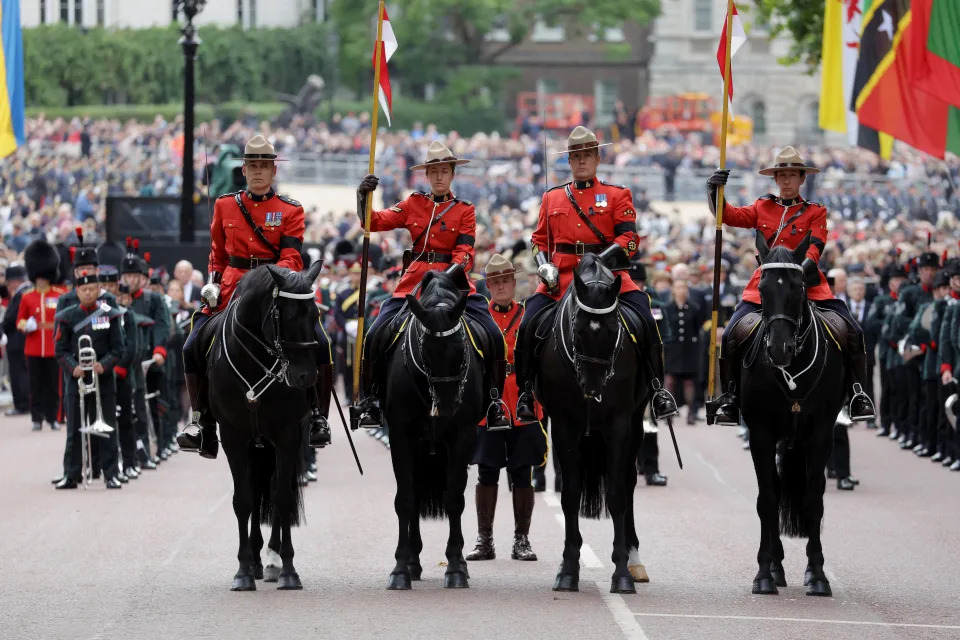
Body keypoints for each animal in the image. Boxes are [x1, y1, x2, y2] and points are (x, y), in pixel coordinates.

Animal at [200, 262, 326, 592]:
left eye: (315, 314)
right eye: (286, 316)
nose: (305, 377)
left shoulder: (287, 435)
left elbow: (282, 498)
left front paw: (289, 570)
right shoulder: (233, 436)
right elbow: (243, 500)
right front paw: (243, 570)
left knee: (270, 487)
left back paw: (270, 558)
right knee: (255, 489)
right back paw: (257, 561)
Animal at [380, 270, 484, 592]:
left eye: (462, 347)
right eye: (425, 350)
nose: (448, 406)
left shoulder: (463, 436)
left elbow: (455, 499)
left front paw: (455, 568)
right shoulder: (400, 436)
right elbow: (405, 499)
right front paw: (400, 569)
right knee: (413, 496)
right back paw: (413, 563)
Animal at [536, 255, 648, 596]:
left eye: (613, 329)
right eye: (578, 328)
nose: (593, 386)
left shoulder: (620, 426)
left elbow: (617, 494)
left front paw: (622, 572)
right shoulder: (563, 426)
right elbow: (570, 494)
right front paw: (568, 569)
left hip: (637, 427)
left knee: (628, 484)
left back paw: (635, 560)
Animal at [740, 232, 844, 596]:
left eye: (799, 287)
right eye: (762, 288)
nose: (778, 350)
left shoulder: (821, 434)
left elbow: (813, 500)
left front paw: (817, 574)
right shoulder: (761, 433)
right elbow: (768, 498)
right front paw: (764, 573)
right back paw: (776, 566)